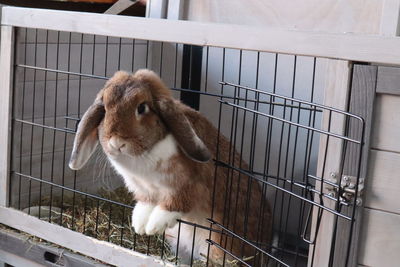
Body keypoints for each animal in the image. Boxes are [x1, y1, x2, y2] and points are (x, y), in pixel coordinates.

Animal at [70, 69, 274, 266]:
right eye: (105, 109)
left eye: (142, 107)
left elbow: (176, 202)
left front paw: (154, 225)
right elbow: (145, 202)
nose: (116, 143)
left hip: (217, 247)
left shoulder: (190, 185)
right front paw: (139, 224)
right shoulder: (143, 189)